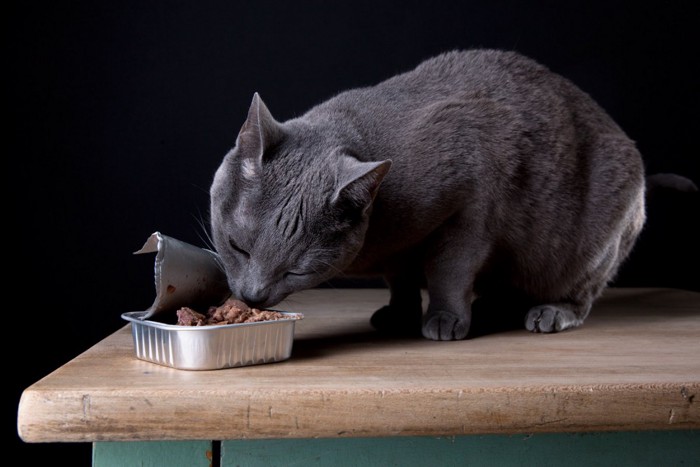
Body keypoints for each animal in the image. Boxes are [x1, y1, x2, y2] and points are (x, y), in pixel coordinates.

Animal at [211, 50, 648, 340]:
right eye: (237, 247)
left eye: (296, 271)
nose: (252, 294)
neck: (385, 231)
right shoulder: (398, 250)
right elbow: (400, 279)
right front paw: (398, 313)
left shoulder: (474, 203)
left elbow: (448, 270)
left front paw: (444, 319)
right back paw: (491, 305)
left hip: (595, 242)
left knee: (582, 291)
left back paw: (549, 313)